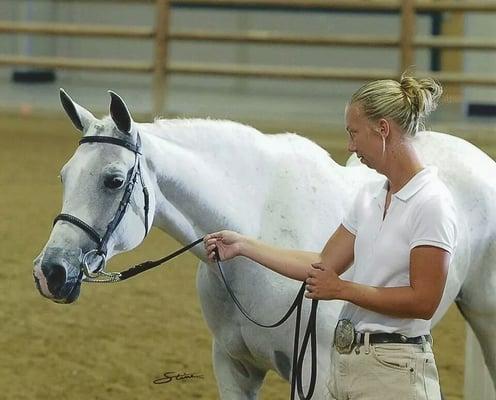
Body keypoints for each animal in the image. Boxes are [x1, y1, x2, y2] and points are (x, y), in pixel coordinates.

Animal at [34, 90, 496, 400]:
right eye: (63, 176)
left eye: (113, 180)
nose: (50, 272)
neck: (259, 220)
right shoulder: (233, 366)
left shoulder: (315, 374)